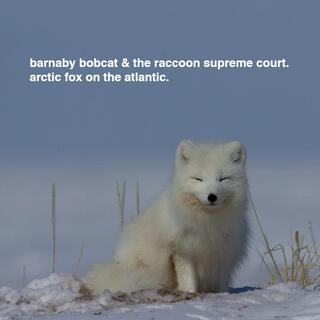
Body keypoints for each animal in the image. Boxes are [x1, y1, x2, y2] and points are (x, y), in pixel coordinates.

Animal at [85, 140, 250, 296]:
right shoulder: (182, 250)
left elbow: (221, 283)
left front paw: (223, 294)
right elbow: (188, 279)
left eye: (223, 179)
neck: (208, 223)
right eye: (198, 179)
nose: (212, 197)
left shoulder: (224, 253)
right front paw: (189, 292)